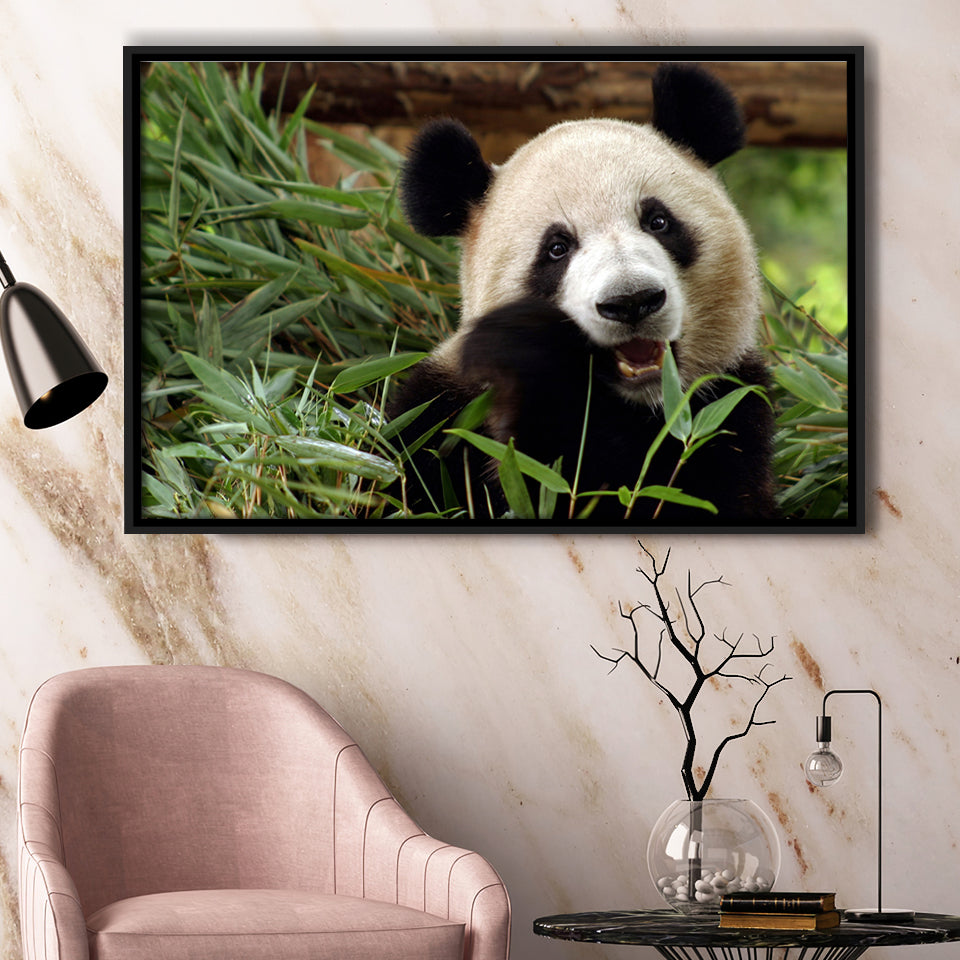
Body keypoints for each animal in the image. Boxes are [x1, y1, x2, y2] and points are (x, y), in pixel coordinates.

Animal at [389, 62, 777, 522]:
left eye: (658, 221)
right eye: (557, 248)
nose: (632, 301)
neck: (638, 407)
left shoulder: (728, 410)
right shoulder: (443, 416)